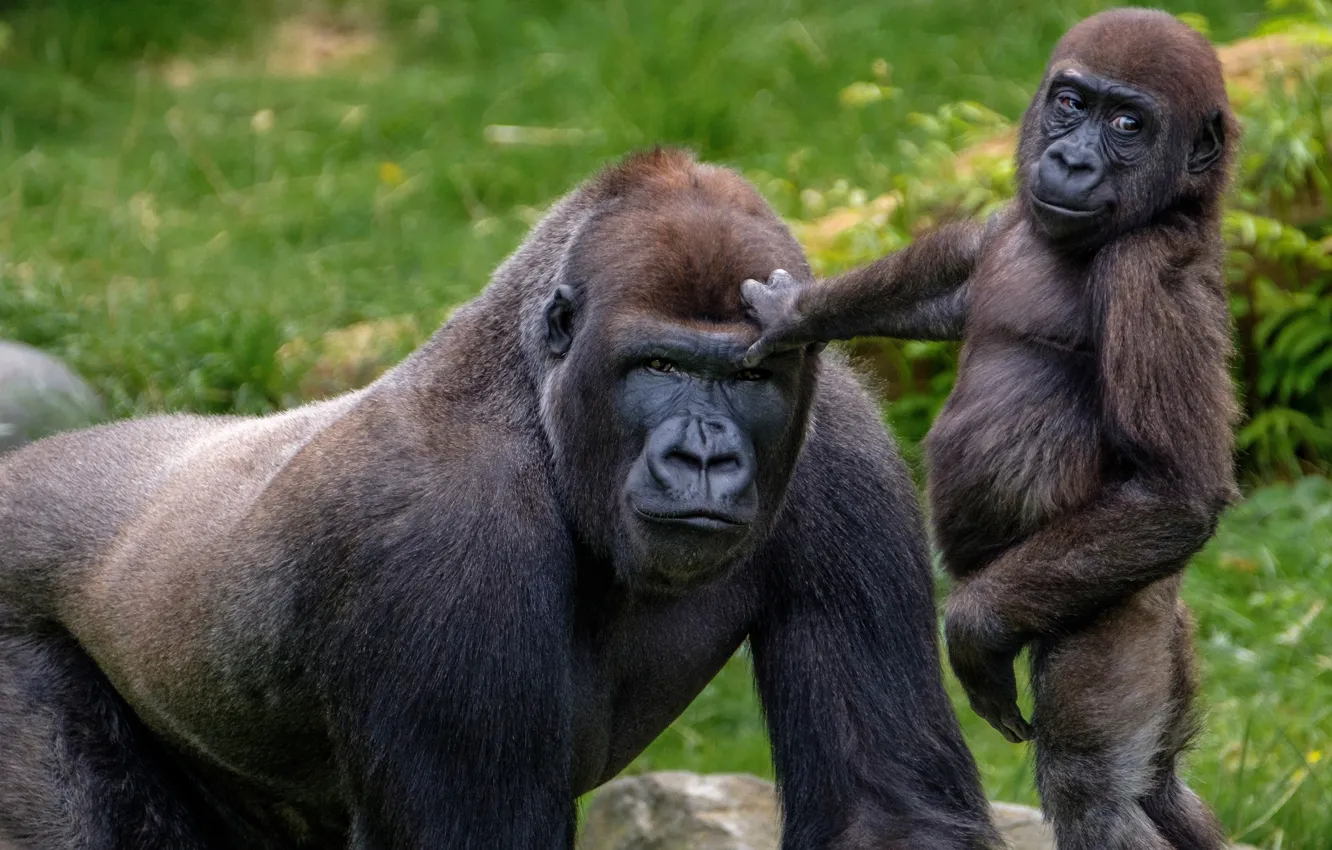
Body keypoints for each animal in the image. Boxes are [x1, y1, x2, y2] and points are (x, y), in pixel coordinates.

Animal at [0, 151, 1001, 850]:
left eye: (749, 376)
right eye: (659, 366)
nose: (704, 456)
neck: (529, 395)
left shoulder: (844, 447)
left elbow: (886, 808)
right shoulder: (446, 537)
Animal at [751, 8, 1236, 850]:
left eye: (1128, 124)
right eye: (1071, 104)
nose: (1071, 159)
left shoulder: (1151, 274)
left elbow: (1175, 490)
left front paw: (973, 631)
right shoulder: (1009, 225)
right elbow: (950, 278)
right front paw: (797, 314)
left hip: (1123, 612)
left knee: (1092, 789)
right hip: (1171, 639)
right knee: (1164, 785)